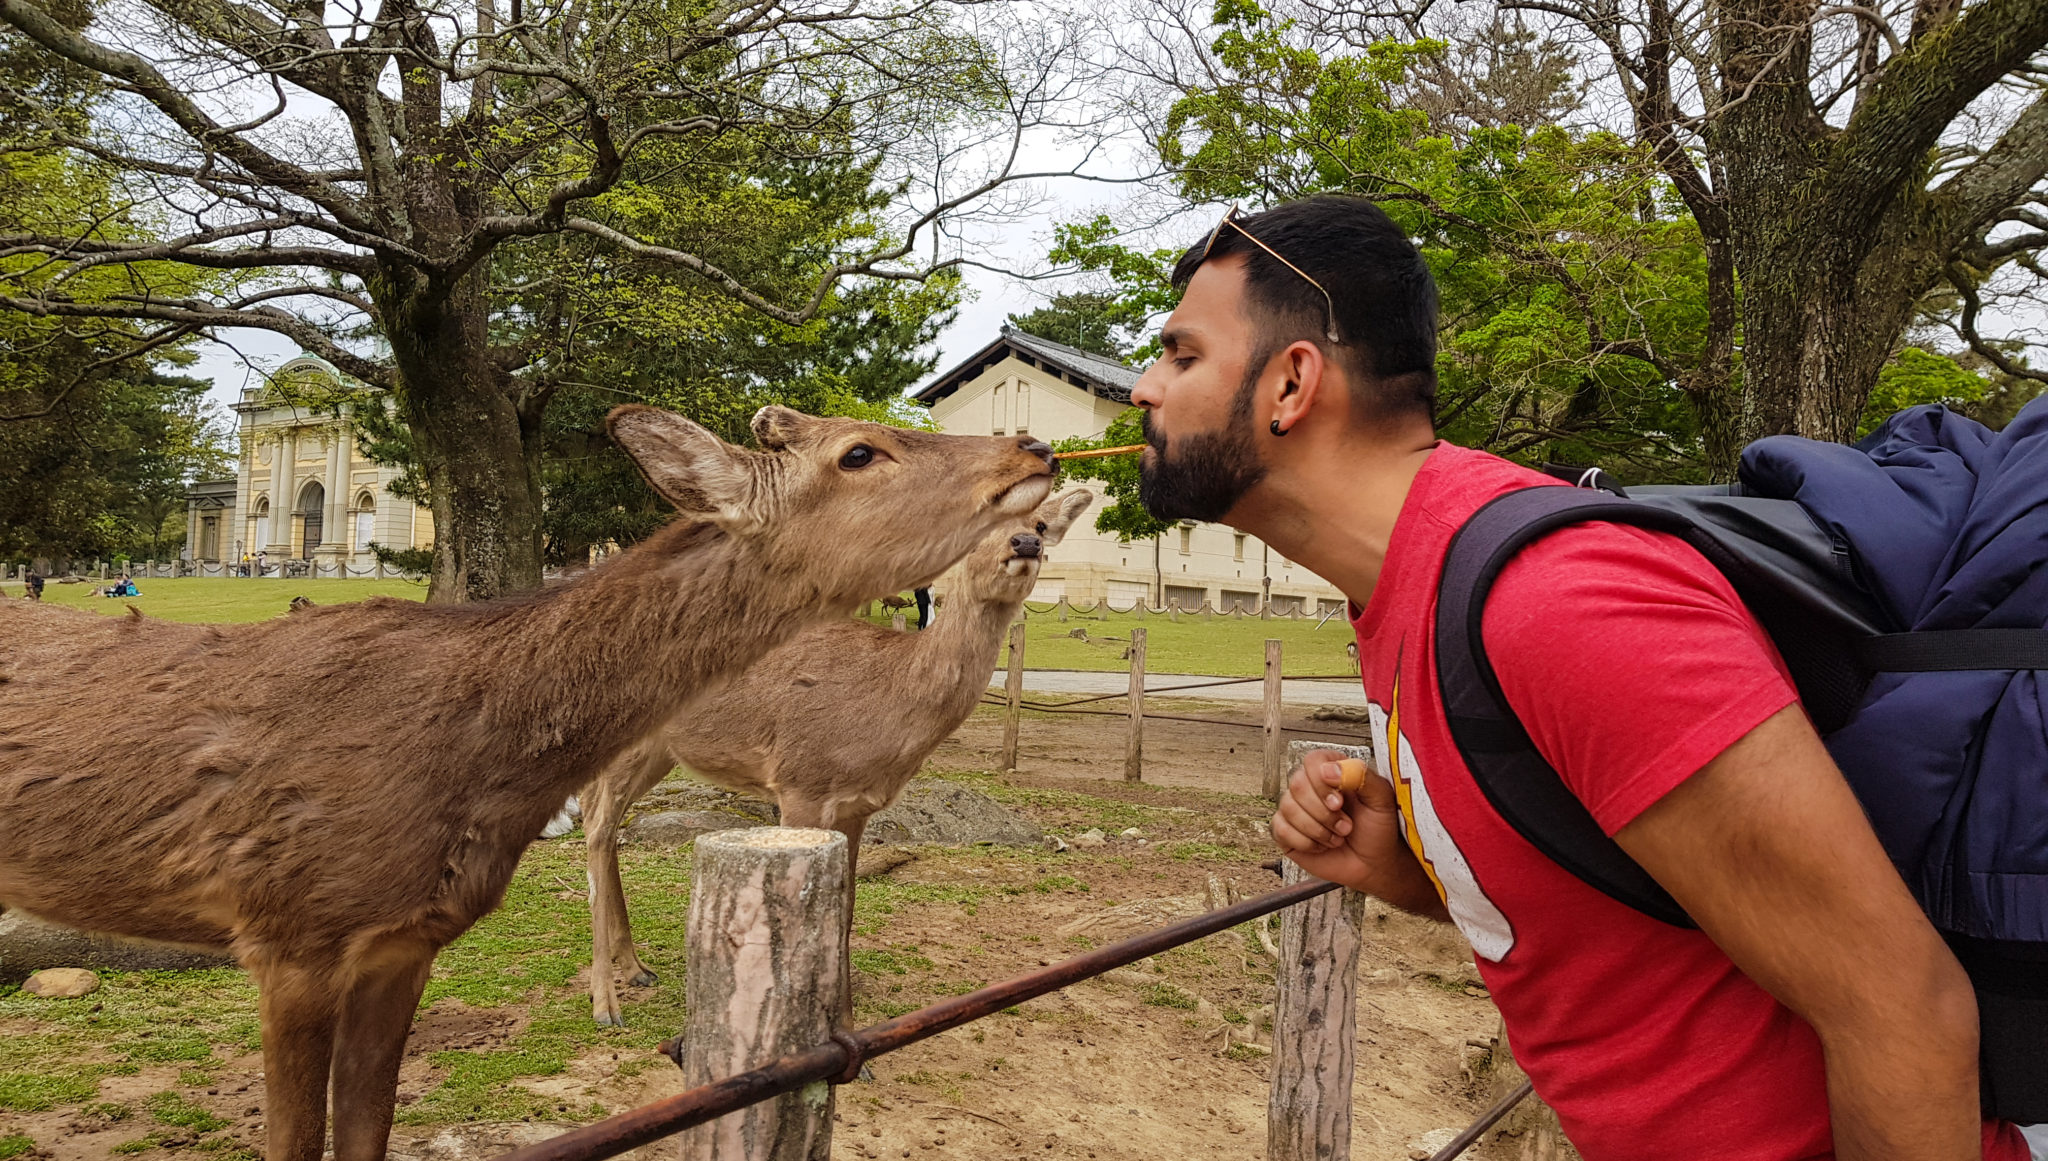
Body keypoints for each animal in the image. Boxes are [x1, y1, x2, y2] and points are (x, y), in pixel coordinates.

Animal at [581, 489, 1089, 1027]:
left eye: (1042, 521)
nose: (1027, 542)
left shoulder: (857, 807)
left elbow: (845, 910)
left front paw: (847, 1031)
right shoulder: (798, 782)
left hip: (657, 752)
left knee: (603, 822)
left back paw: (636, 968)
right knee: (595, 828)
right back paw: (606, 1002)